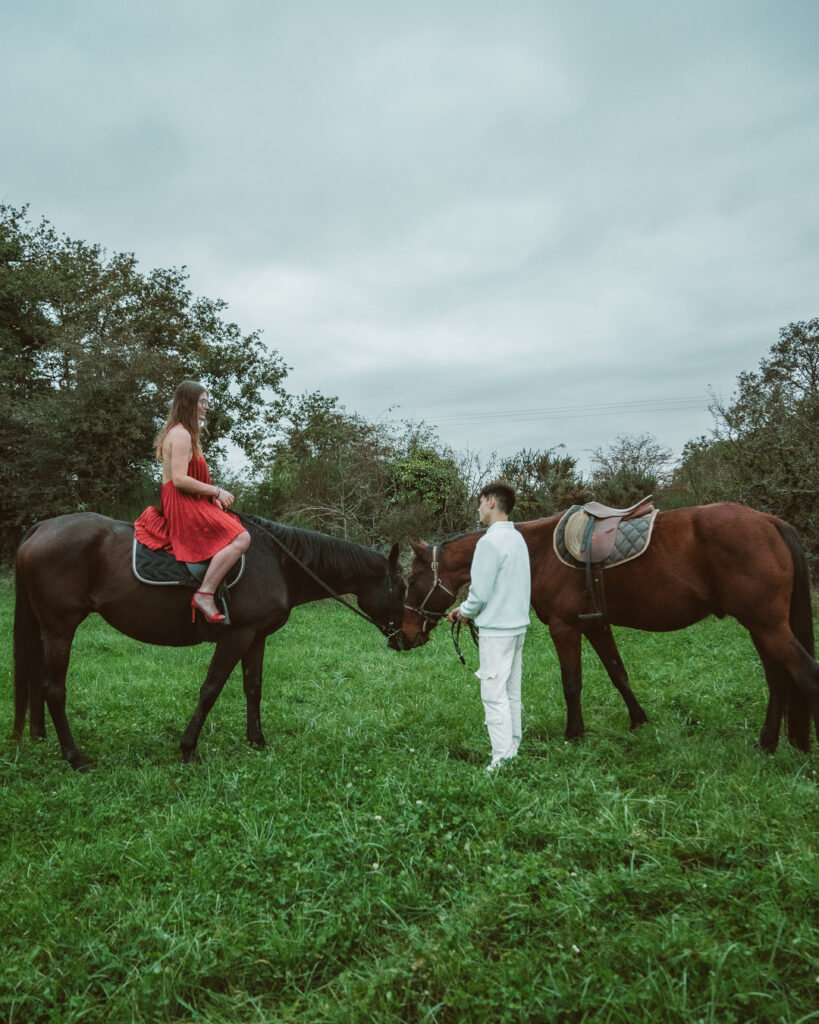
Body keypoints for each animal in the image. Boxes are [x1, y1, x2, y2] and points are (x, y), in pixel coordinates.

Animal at [14, 512, 405, 770]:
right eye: (401, 588)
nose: (407, 639)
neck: (278, 562)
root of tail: (42, 527)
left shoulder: (256, 636)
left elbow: (253, 687)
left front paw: (257, 740)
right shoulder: (236, 635)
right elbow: (211, 688)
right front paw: (188, 748)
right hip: (60, 629)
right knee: (53, 690)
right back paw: (75, 758)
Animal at [391, 501, 818, 753]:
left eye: (413, 579)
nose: (402, 638)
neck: (536, 552)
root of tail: (770, 522)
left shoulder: (565, 627)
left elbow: (572, 682)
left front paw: (574, 734)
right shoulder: (596, 625)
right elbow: (618, 673)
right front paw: (638, 720)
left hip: (768, 627)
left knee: (804, 674)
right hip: (762, 628)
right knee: (779, 680)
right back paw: (767, 743)